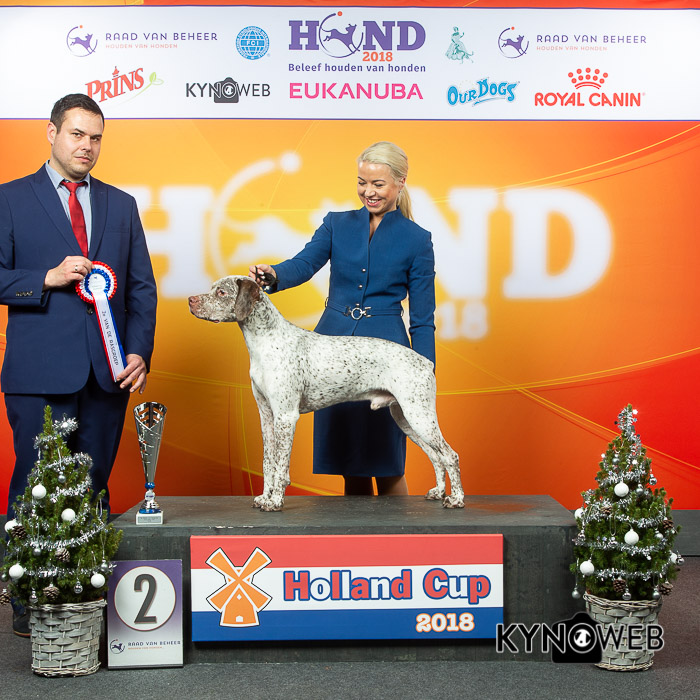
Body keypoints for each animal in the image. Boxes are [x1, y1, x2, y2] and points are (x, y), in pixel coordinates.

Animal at [188, 276, 464, 512]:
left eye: (221, 292)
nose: (190, 300)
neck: (266, 342)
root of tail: (426, 362)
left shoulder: (286, 417)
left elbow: (280, 466)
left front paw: (275, 501)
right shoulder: (266, 416)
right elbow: (268, 463)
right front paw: (265, 497)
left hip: (419, 416)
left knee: (450, 455)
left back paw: (456, 499)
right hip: (406, 418)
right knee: (436, 457)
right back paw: (439, 492)